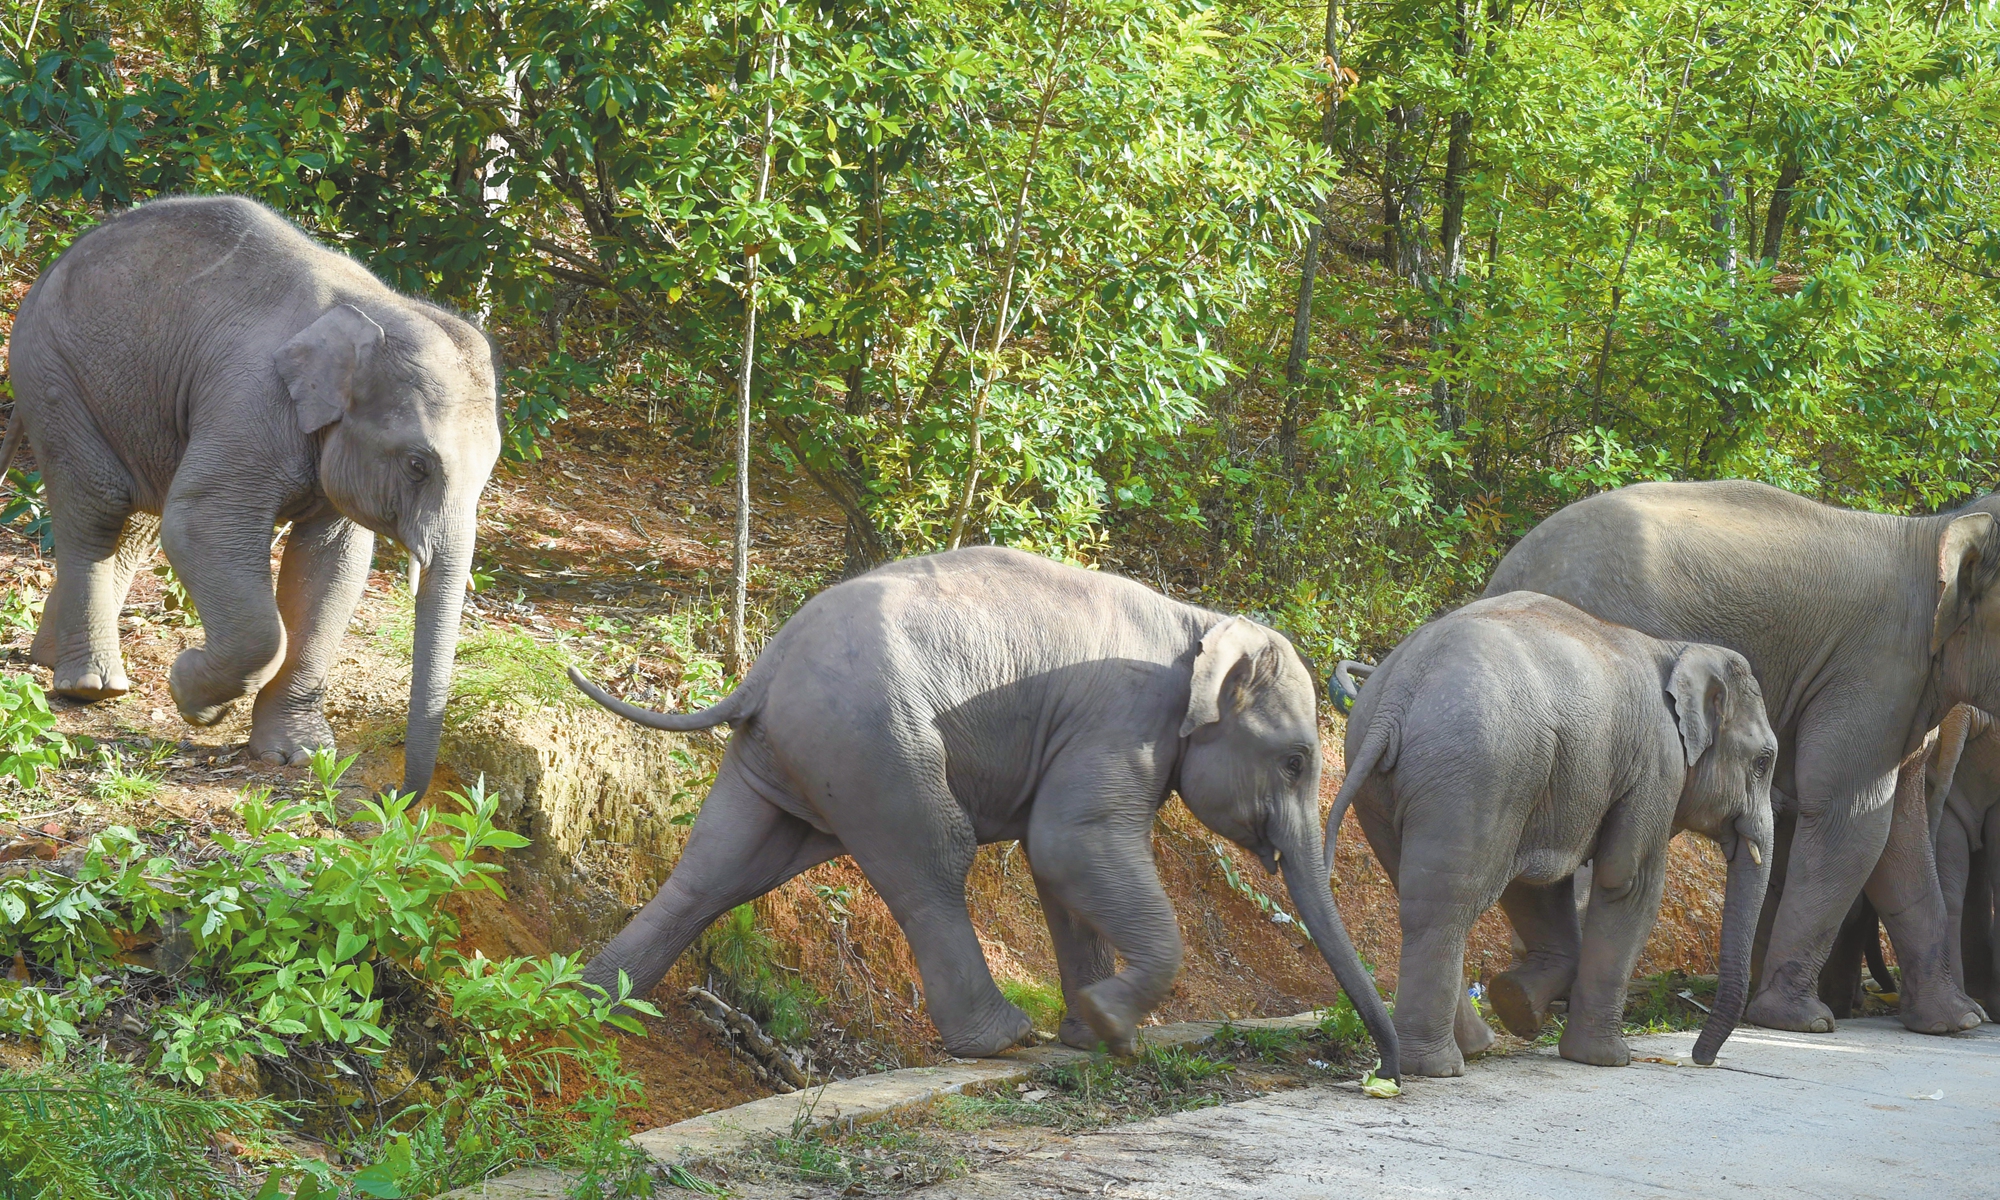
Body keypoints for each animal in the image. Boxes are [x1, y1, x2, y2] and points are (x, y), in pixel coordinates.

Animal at [3, 195, 500, 796]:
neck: (375, 311)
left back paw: (53, 661)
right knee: (101, 506)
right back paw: (91, 687)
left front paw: (298, 755)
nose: (397, 795)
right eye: (417, 465)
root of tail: (49, 267)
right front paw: (192, 696)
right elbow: (200, 525)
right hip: (53, 375)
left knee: (135, 525)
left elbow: (332, 565)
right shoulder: (250, 401)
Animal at [566, 545, 1401, 1074]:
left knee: (720, 871)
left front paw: (1091, 1032)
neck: (1198, 622)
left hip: (788, 755)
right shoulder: (1122, 719)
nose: (1383, 1072)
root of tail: (762, 667)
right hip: (872, 742)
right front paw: (1114, 1032)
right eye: (1296, 761)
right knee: (934, 859)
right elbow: (1068, 843)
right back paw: (1003, 1040)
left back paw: (587, 1002)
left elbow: (1056, 865)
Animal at [1330, 592, 1776, 1076]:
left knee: (1422, 895)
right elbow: (1628, 882)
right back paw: (1439, 1066)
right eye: (1764, 761)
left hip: (1395, 782)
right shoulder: (1657, 766)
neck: (1677, 649)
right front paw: (1606, 1059)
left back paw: (1472, 1047)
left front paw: (1516, 1002)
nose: (1701, 1059)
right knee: (1450, 904)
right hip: (1479, 768)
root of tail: (1397, 693)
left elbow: (1537, 887)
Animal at [1486, 480, 1990, 1037]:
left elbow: (1898, 827)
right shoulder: (1874, 667)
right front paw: (1801, 1021)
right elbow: (1850, 817)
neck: (1934, 532)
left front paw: (1958, 1021)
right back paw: (1539, 1000)